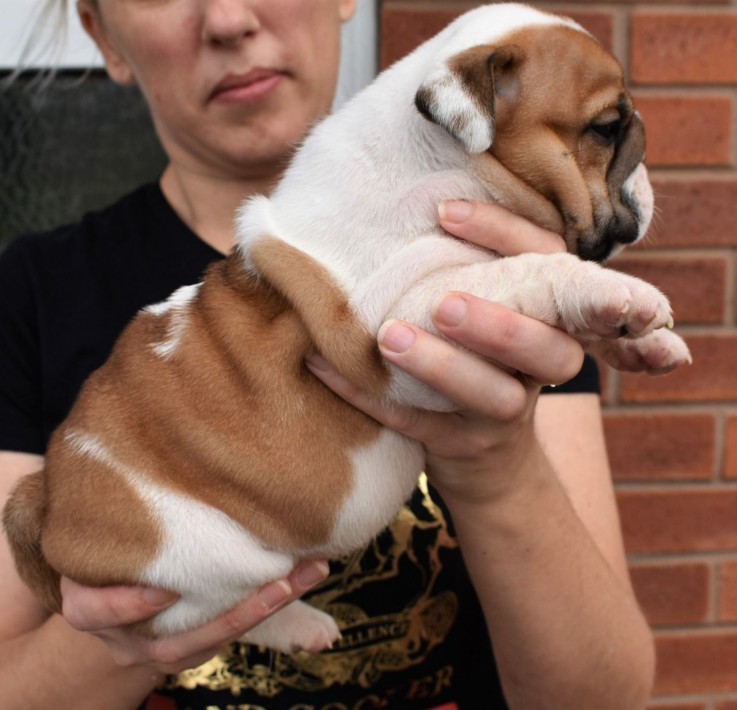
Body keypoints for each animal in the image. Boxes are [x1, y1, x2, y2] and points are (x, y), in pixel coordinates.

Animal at [2, 2, 688, 656]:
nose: (648, 163)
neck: (442, 165)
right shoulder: (401, 325)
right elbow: (526, 269)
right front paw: (618, 293)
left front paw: (645, 339)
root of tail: (48, 495)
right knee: (204, 620)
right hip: (203, 562)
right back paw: (298, 625)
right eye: (605, 128)